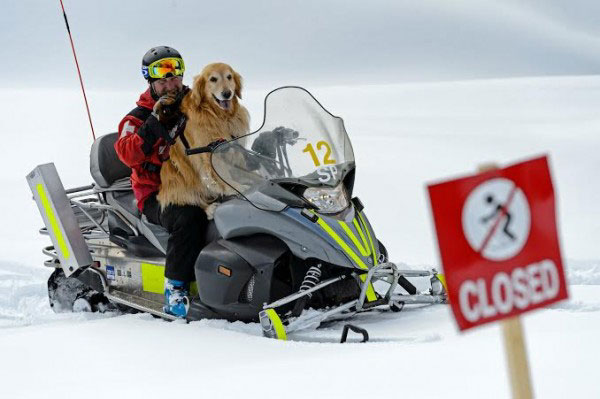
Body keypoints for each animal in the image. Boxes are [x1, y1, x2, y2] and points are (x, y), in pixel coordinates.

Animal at [156, 63, 250, 219]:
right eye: (213, 79)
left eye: (229, 77)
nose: (227, 93)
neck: (219, 116)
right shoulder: (209, 152)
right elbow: (222, 174)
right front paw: (236, 188)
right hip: (180, 179)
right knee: (190, 198)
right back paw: (209, 209)